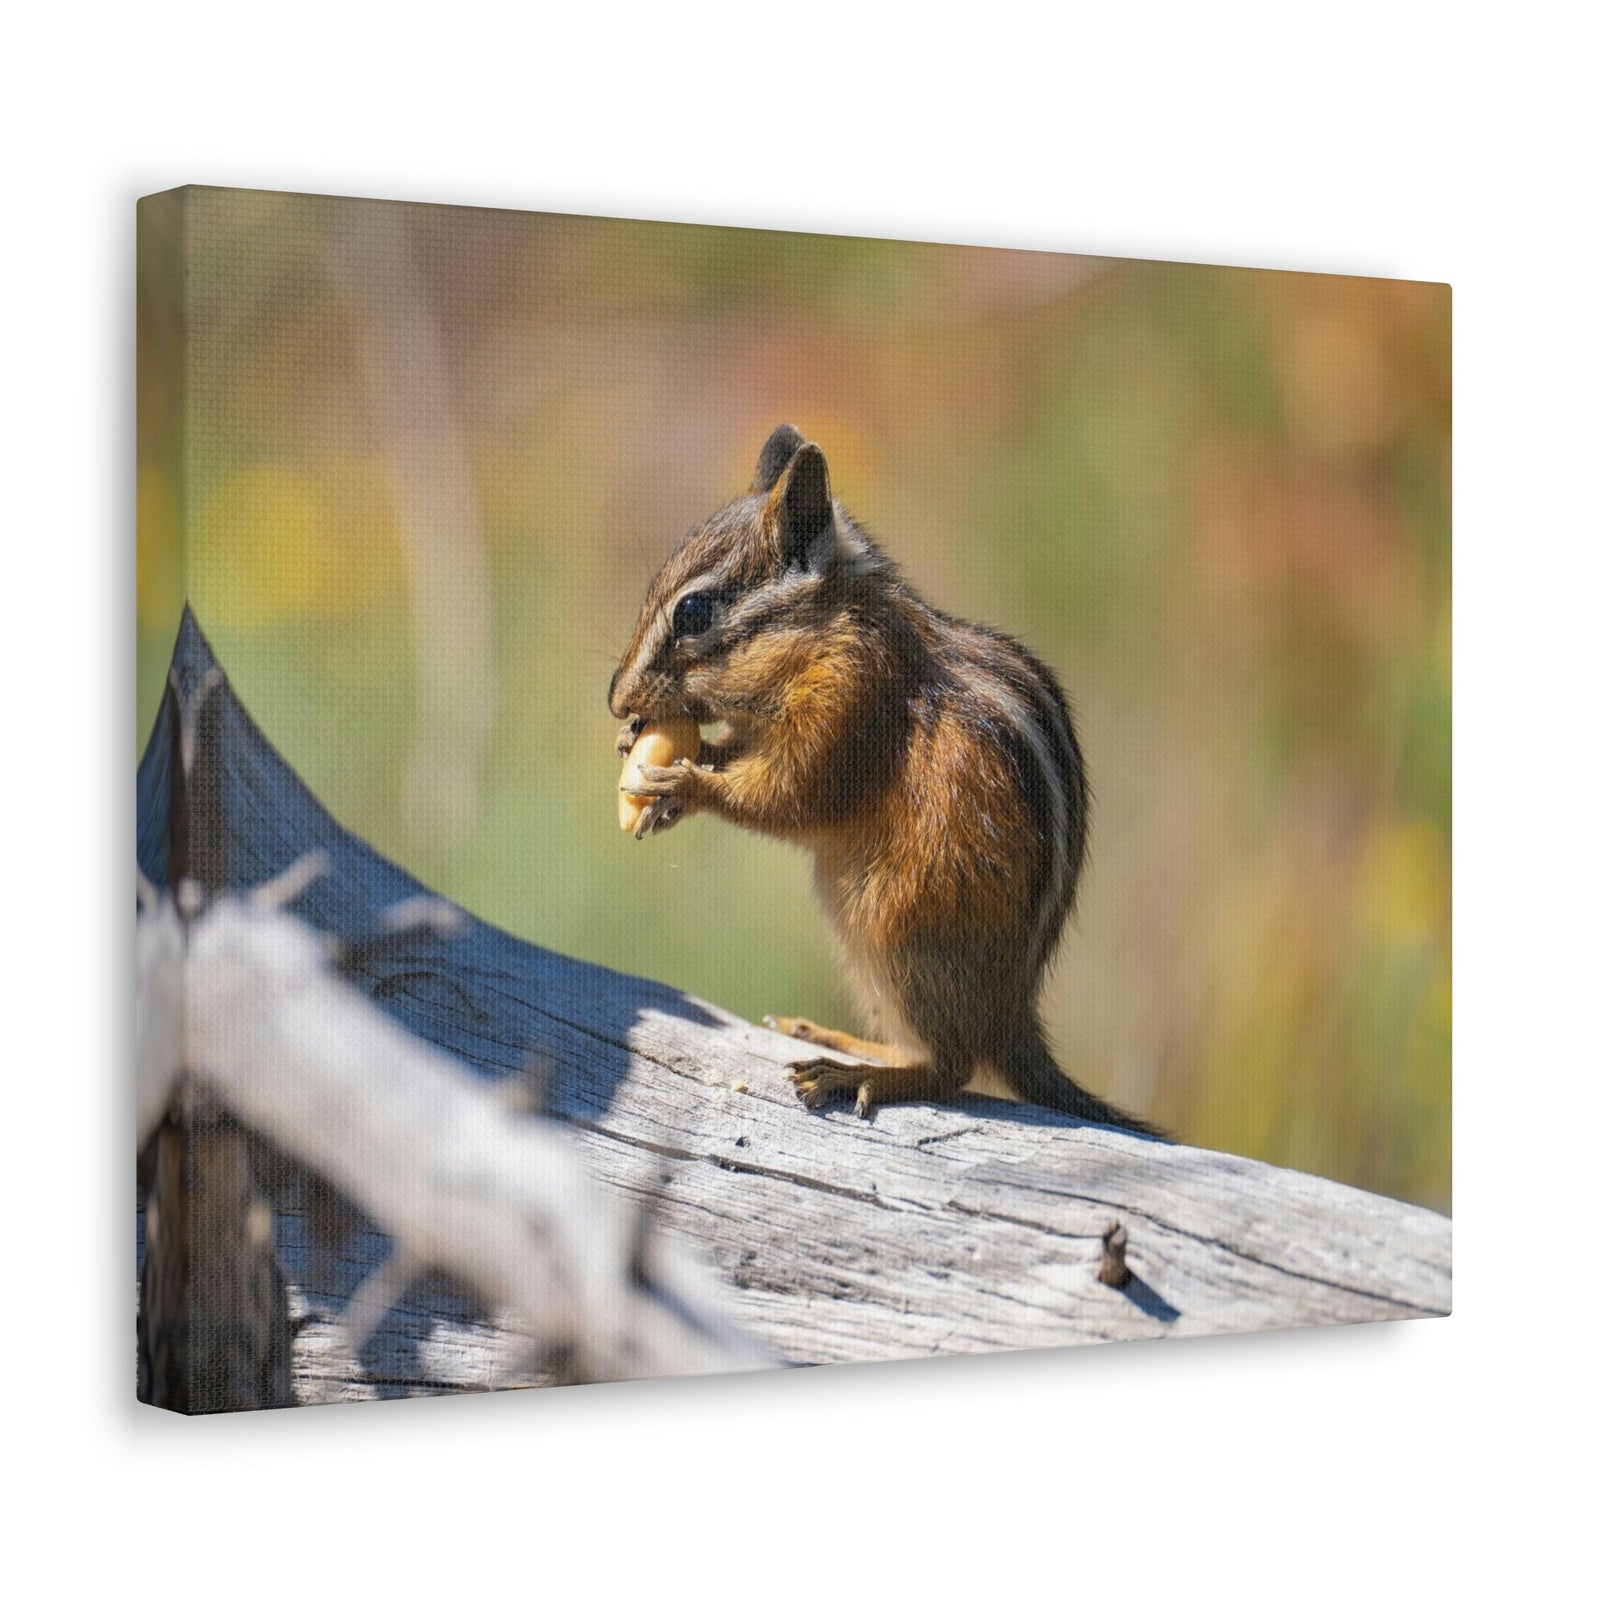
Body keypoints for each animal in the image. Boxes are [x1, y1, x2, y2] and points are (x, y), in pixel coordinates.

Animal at [610, 424, 1159, 1135]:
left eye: (695, 612)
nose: (616, 700)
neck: (830, 632)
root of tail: (1010, 1014)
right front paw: (655, 751)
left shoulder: (851, 704)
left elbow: (789, 796)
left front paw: (684, 787)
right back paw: (831, 1037)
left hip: (901, 932)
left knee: (951, 1068)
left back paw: (853, 1074)